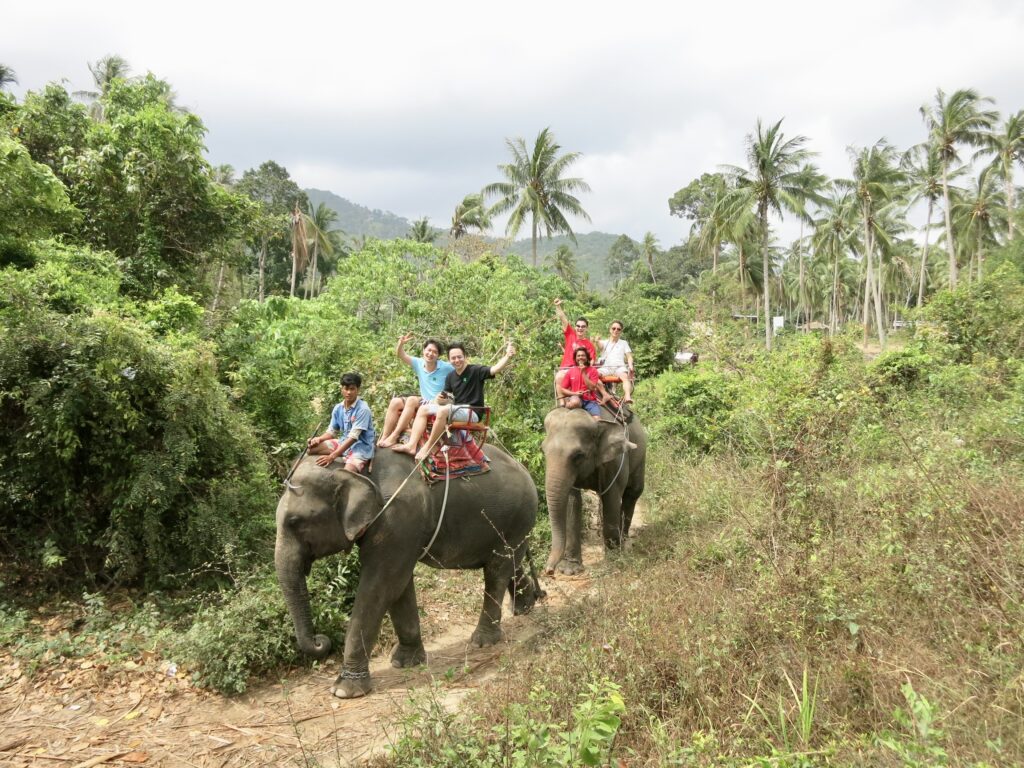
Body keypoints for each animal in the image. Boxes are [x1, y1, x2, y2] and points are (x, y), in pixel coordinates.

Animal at [272, 442, 544, 700]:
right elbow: (399, 586)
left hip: (516, 516)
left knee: (496, 571)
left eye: (295, 522)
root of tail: (523, 467)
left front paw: (345, 690)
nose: (321, 641)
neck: (353, 469)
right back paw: (525, 606)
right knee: (509, 563)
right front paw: (404, 662)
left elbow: (381, 585)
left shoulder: (398, 518)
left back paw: (483, 641)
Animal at [540, 405, 643, 573]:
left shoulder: (614, 461)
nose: (549, 570)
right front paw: (569, 569)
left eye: (578, 455)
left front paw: (613, 562)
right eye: (543, 451)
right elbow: (572, 501)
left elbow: (611, 498)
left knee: (632, 493)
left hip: (641, 454)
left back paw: (624, 543)